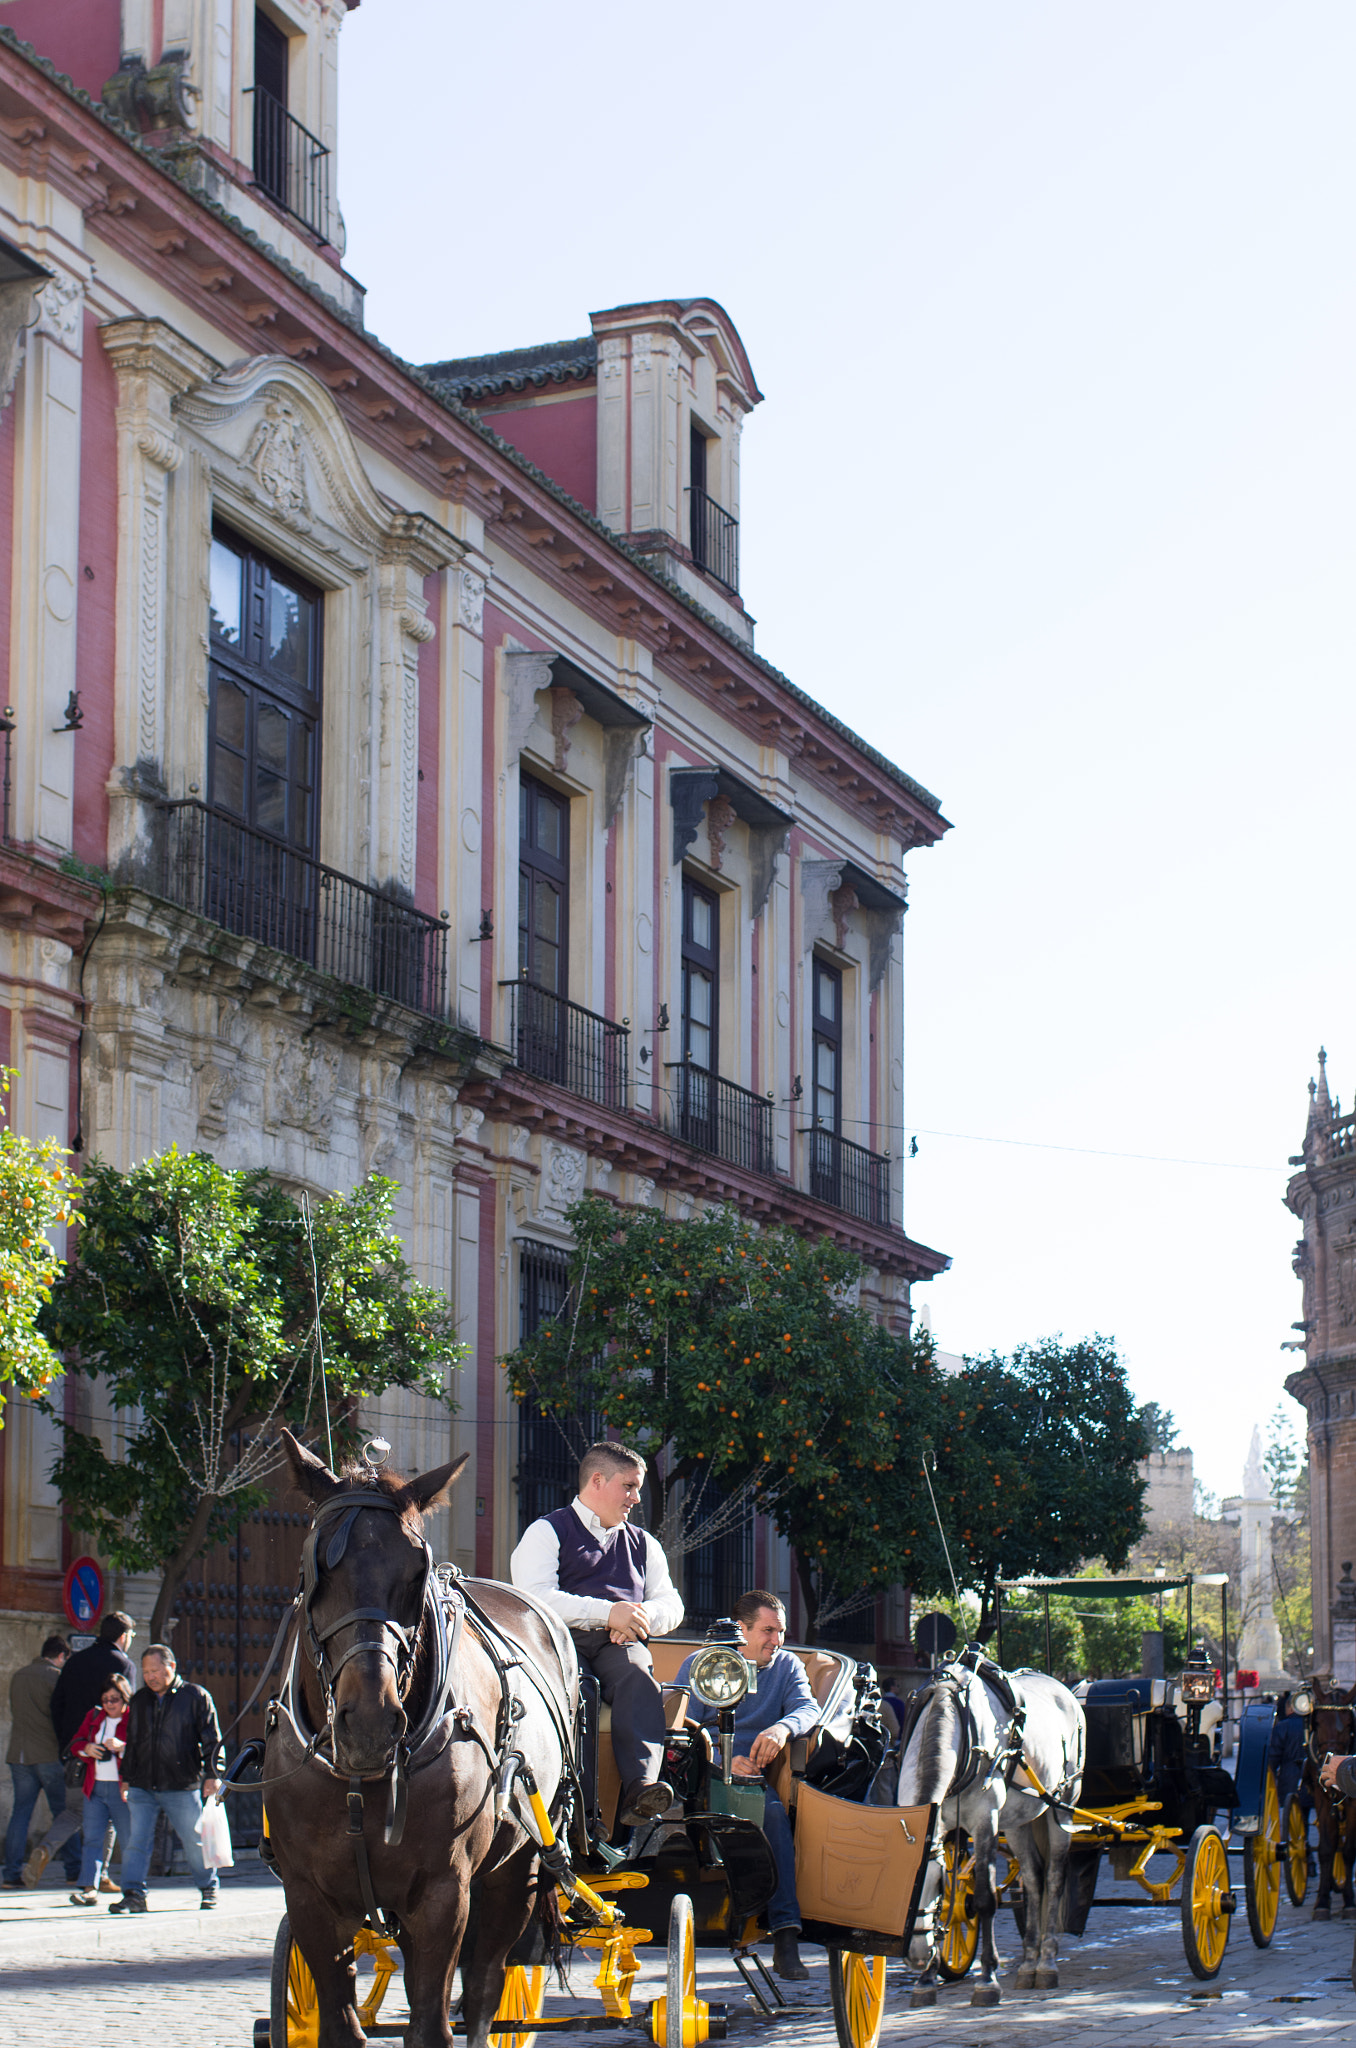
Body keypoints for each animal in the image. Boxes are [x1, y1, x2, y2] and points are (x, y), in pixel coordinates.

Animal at [264, 1433, 577, 2048]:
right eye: (315, 1569)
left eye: (417, 1572)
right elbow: (338, 2023)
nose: (370, 1723)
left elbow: (433, 2022)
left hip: (517, 1869)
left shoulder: (442, 1894)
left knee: (484, 1988)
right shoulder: (308, 1897)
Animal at [876, 1654, 1089, 2007]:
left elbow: (985, 1898)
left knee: (1055, 1877)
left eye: (937, 1885)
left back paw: (1046, 1962)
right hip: (1017, 1821)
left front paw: (987, 1979)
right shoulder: (941, 1824)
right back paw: (1029, 1963)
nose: (917, 1956)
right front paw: (925, 1981)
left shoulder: (984, 1821)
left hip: (1063, 1807)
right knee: (1033, 1880)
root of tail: (1065, 1690)